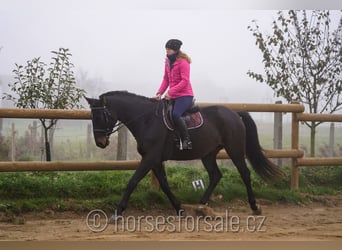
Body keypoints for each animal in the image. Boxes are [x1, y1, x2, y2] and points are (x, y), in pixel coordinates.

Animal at [85, 90, 280, 217]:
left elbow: (132, 181)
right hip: (208, 154)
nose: (100, 142)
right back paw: (201, 206)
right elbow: (164, 184)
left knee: (245, 173)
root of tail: (233, 113)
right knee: (215, 175)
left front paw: (118, 211)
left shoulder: (150, 157)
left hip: (235, 149)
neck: (146, 119)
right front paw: (179, 209)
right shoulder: (155, 160)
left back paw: (254, 207)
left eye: (101, 116)